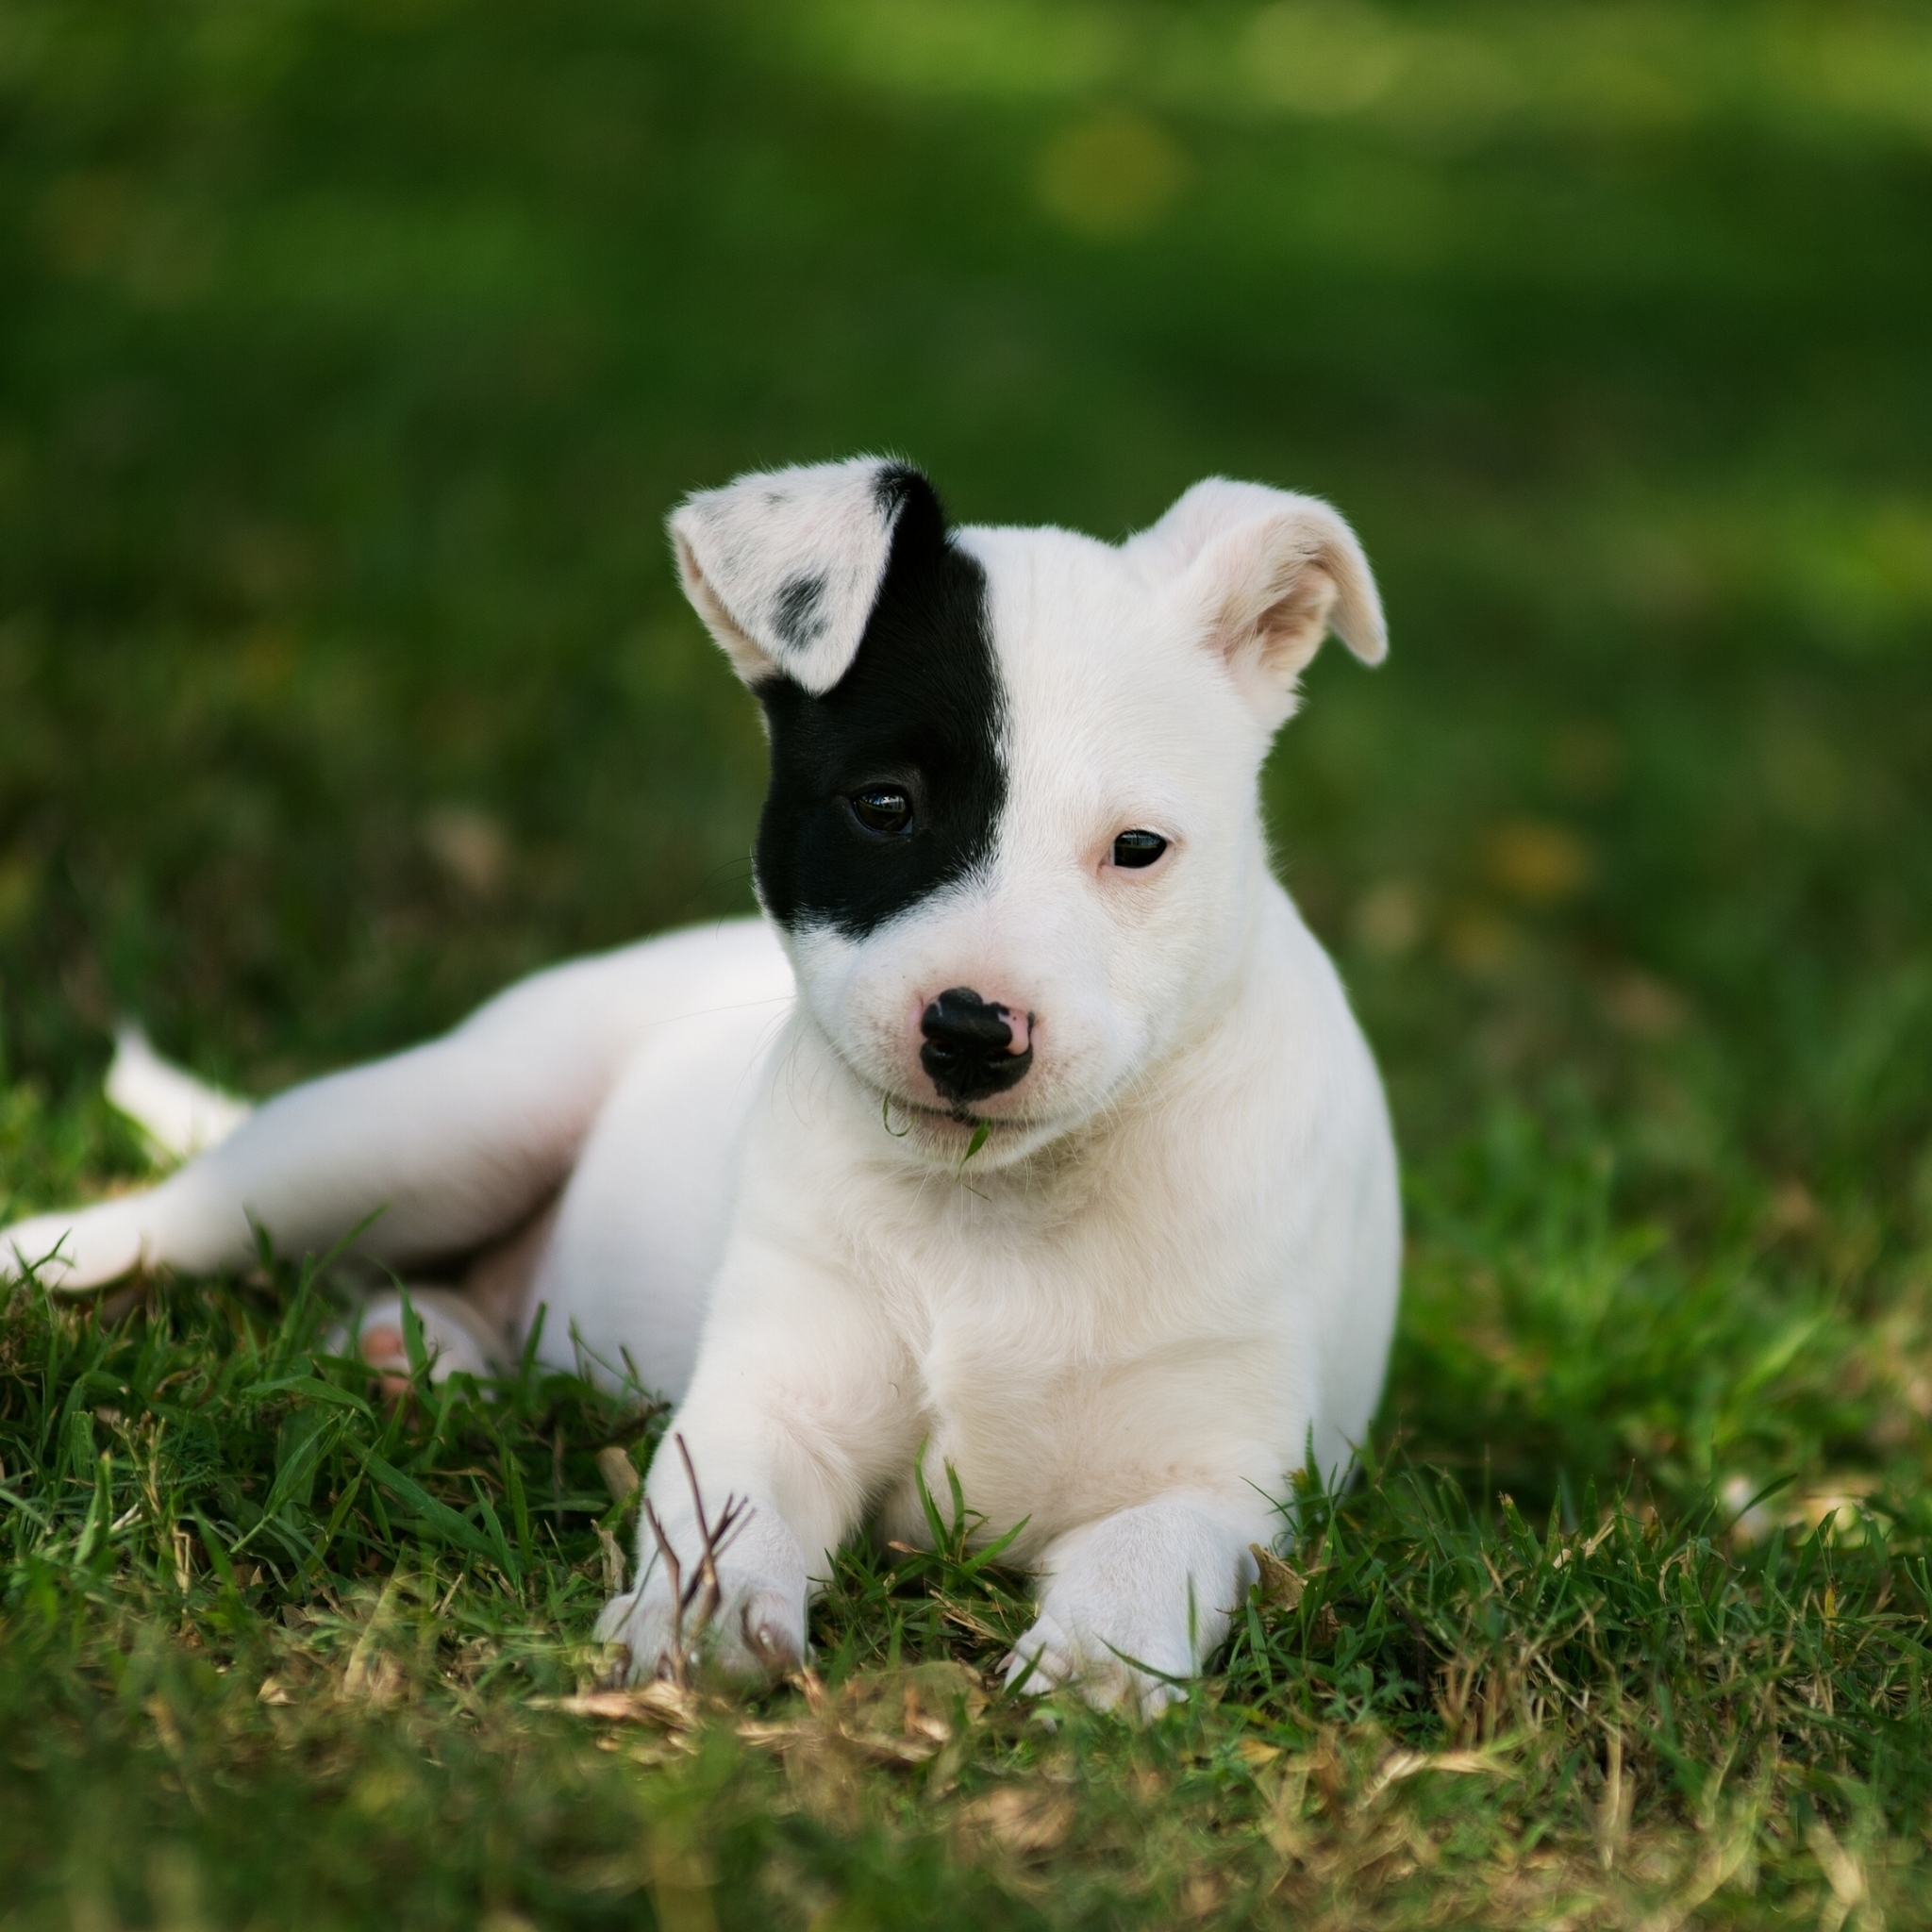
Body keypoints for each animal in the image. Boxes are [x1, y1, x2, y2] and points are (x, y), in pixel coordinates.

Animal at [0, 459, 1398, 1715]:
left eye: (1138, 849)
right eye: (884, 806)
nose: (970, 1032)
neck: (1003, 1211)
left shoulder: (1226, 1475)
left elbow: (1151, 1546)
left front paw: (1097, 1665)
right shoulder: (770, 1395)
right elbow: (728, 1508)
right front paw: (703, 1614)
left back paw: (418, 1353)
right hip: (428, 1130)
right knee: (181, 1220)